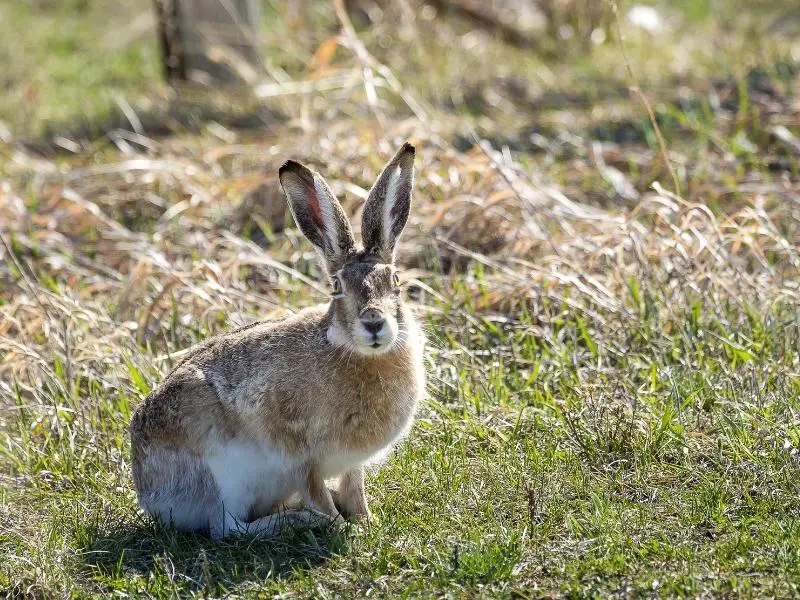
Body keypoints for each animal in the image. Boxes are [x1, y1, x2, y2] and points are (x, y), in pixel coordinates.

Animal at [130, 142, 424, 540]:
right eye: (336, 287)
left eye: (395, 280)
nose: (375, 323)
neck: (350, 350)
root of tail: (147, 491)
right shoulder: (296, 450)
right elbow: (315, 491)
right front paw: (338, 526)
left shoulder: (352, 463)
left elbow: (355, 486)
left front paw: (364, 521)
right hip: (225, 473)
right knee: (228, 528)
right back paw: (297, 520)